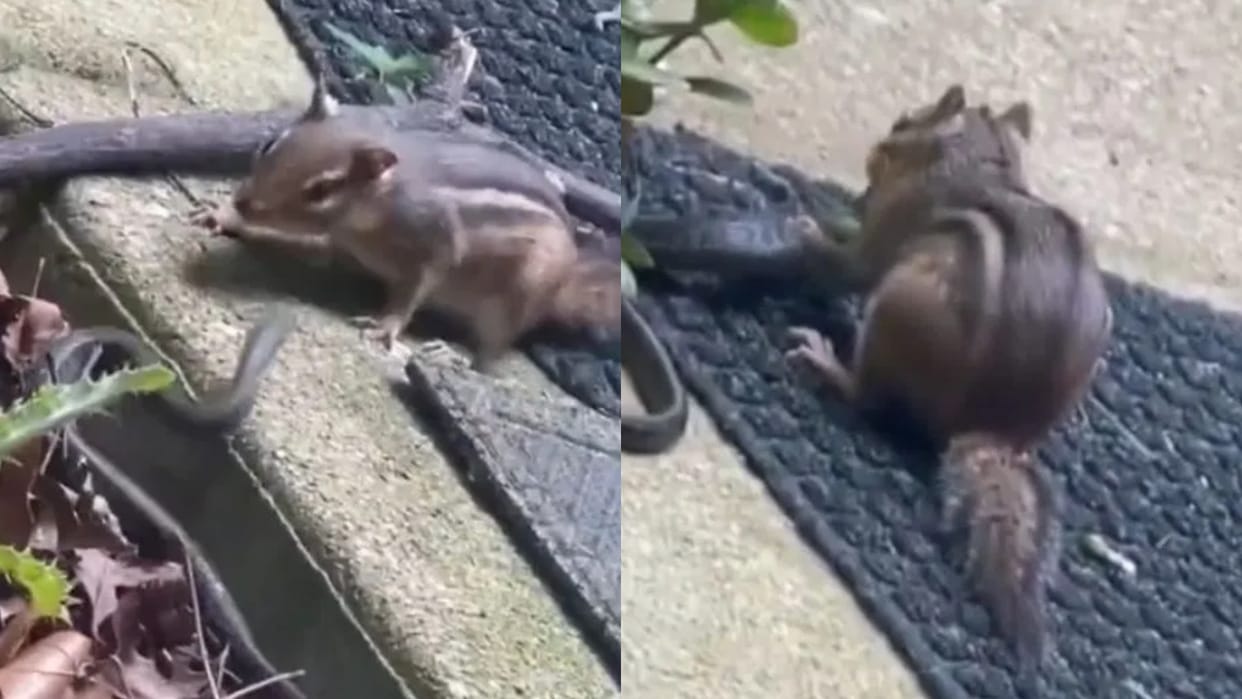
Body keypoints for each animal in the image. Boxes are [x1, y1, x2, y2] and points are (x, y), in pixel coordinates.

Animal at [193, 75, 621, 371]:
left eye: (322, 189)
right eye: (271, 145)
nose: (244, 201)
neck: (379, 202)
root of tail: (561, 287)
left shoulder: (436, 242)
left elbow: (415, 289)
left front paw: (386, 325)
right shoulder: (339, 242)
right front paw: (226, 216)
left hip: (520, 293)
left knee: (492, 356)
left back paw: (453, 356)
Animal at [785, 85, 1113, 668]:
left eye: (903, 122)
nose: (879, 148)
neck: (982, 159)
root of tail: (993, 428)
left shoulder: (893, 223)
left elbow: (852, 265)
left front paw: (808, 231)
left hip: (897, 304)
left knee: (869, 399)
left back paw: (828, 361)